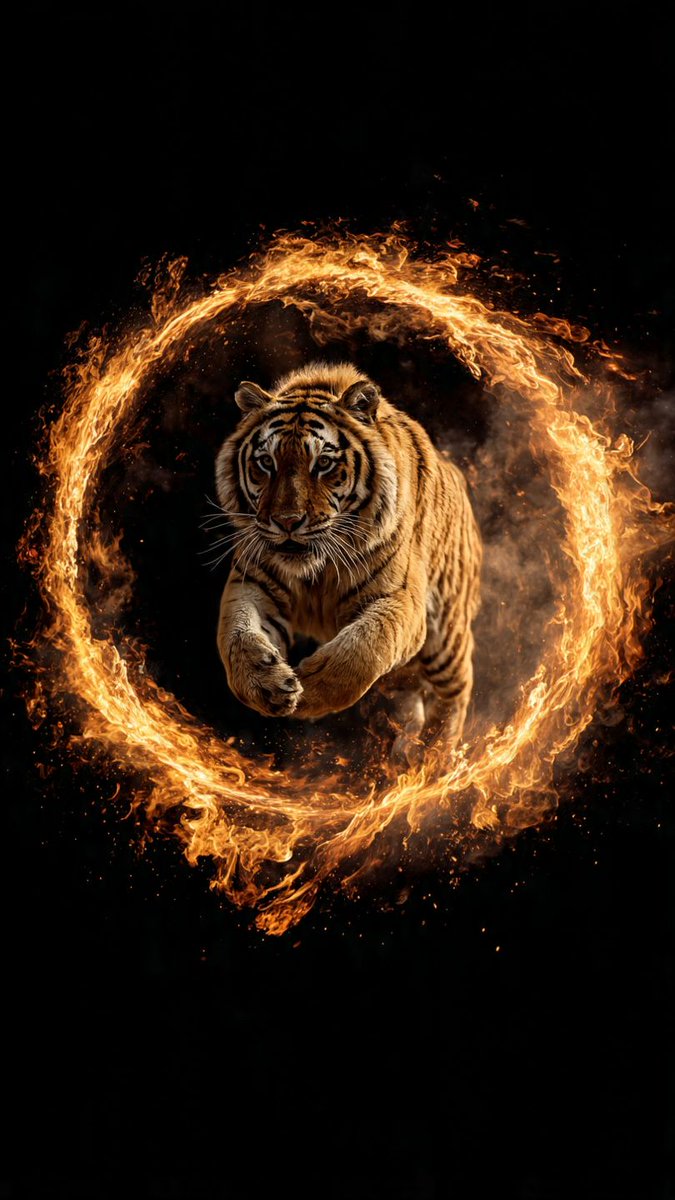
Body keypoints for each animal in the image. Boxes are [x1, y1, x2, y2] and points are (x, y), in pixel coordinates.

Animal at [214, 361, 482, 759]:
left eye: (323, 463)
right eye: (266, 462)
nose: (287, 521)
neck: (317, 571)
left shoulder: (400, 598)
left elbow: (366, 646)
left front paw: (311, 691)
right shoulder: (254, 582)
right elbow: (236, 636)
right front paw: (266, 685)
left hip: (445, 636)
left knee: (457, 689)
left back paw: (435, 752)